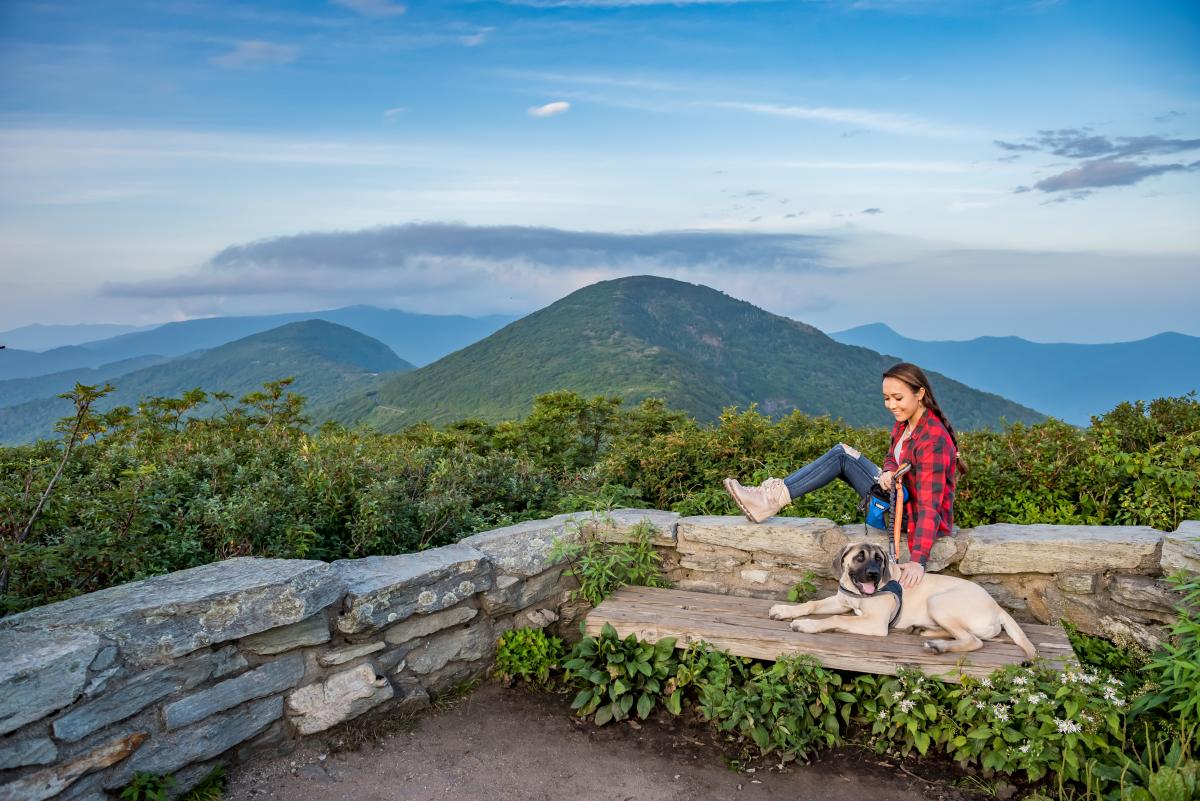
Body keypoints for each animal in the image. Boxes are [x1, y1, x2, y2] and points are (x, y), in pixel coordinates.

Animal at [768, 541, 1041, 661]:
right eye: (859, 557)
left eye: (879, 559)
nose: (873, 574)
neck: (860, 594)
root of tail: (998, 607)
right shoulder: (843, 601)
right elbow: (812, 604)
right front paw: (784, 610)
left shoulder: (875, 623)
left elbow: (834, 618)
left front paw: (806, 625)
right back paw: (922, 630)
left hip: (938, 601)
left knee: (973, 640)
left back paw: (937, 645)